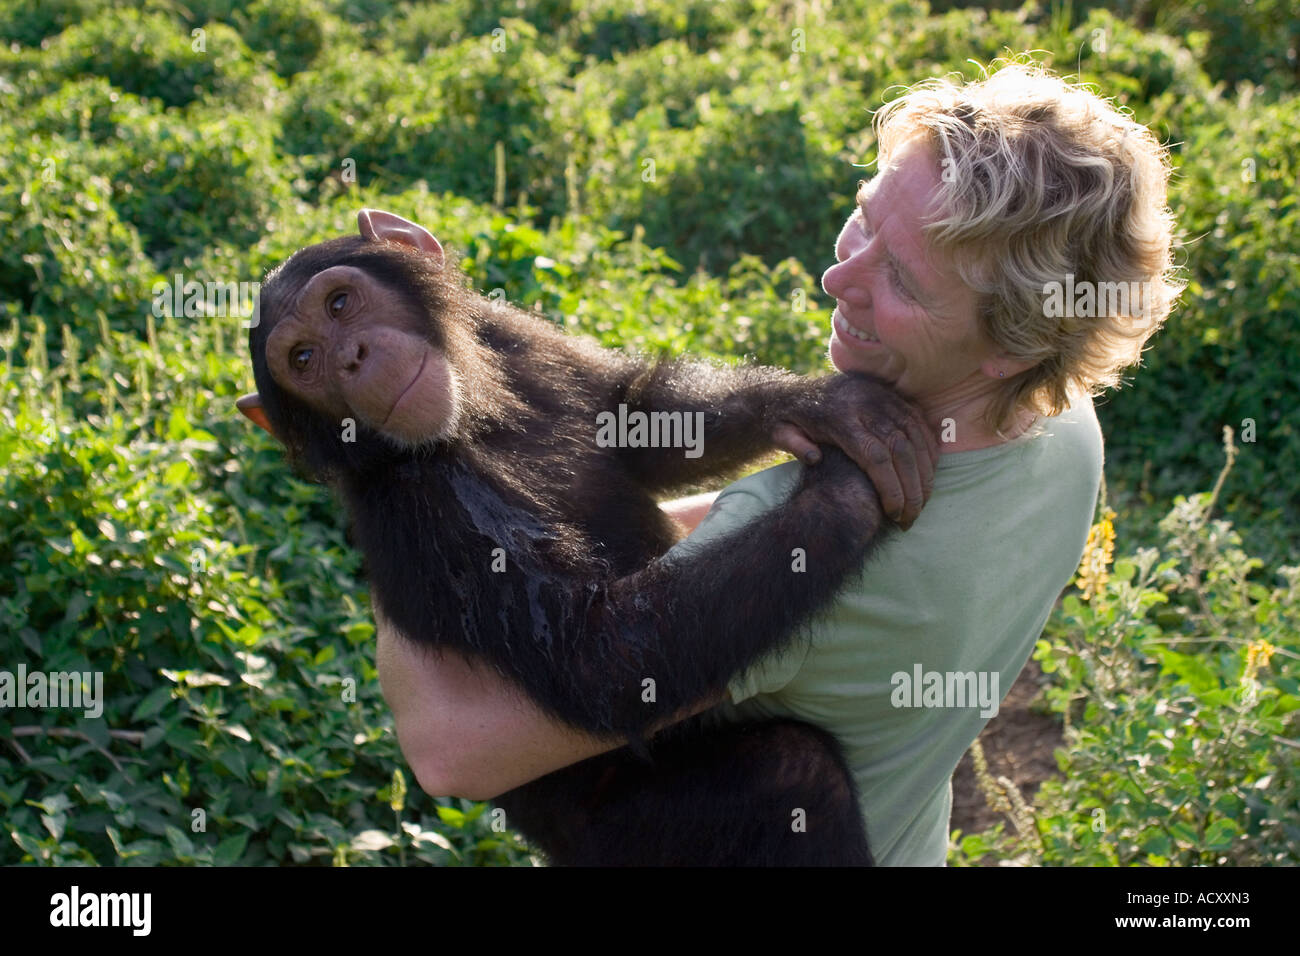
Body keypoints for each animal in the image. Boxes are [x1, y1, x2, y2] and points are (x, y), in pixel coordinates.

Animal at [239, 209, 930, 868]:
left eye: (339, 305)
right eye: (304, 360)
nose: (350, 358)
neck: (473, 425)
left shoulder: (512, 334)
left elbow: (635, 418)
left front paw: (814, 403)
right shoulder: (425, 513)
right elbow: (601, 656)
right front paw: (843, 492)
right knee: (796, 773)